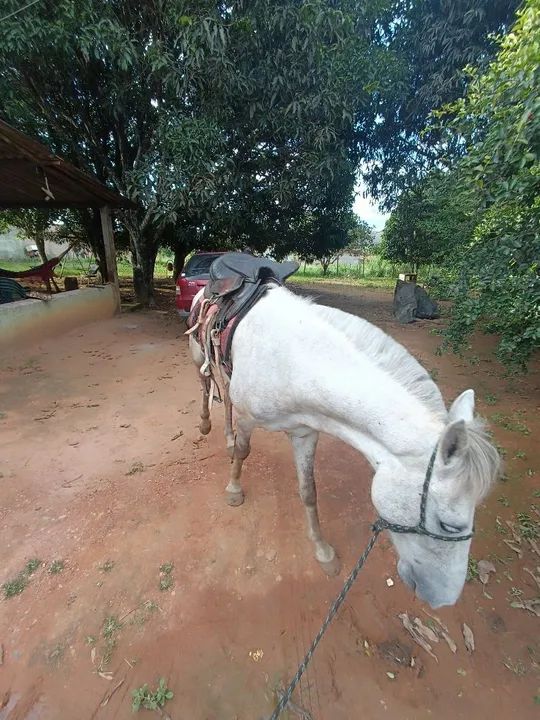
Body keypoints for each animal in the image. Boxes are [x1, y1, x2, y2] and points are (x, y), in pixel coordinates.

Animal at [188, 282, 499, 608]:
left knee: (224, 395)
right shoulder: (248, 419)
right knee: (206, 385)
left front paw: (323, 552)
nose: (444, 599)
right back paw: (206, 424)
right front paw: (234, 491)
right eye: (449, 526)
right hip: (198, 355)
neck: (294, 364)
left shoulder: (304, 432)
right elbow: (242, 452)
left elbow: (308, 491)